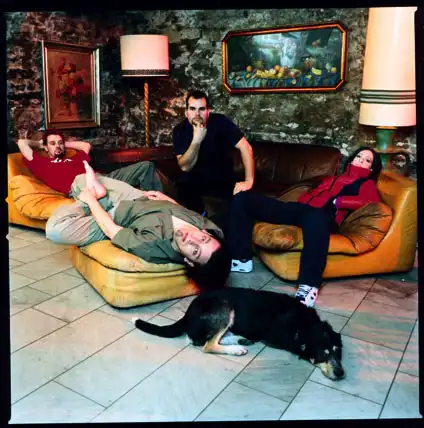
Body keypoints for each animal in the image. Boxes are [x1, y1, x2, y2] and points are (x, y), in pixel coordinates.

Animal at [132, 287, 345, 380]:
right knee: (206, 344)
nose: (341, 373)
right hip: (225, 306)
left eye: (338, 351)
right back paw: (236, 349)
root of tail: (186, 314)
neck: (305, 324)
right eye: (323, 354)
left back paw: (240, 339)